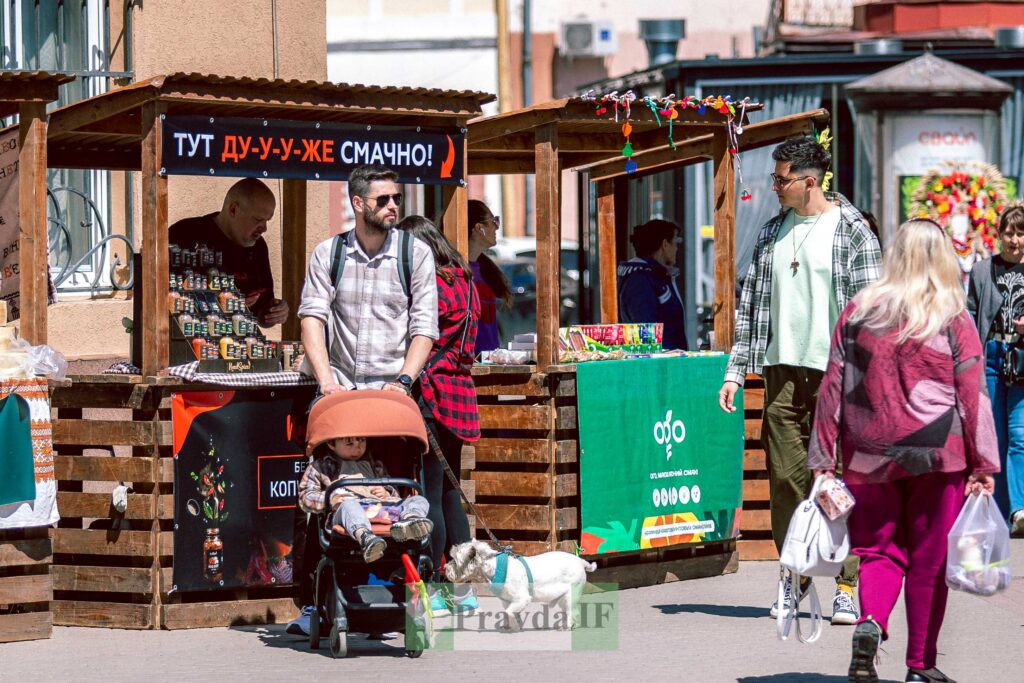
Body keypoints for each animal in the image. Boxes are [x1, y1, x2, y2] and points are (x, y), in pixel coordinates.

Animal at [444, 540, 598, 634]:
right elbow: (509, 612)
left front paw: (515, 627)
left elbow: (509, 612)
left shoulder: (521, 598)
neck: (493, 568)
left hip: (570, 595)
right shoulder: (507, 600)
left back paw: (566, 627)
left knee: (572, 612)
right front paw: (510, 626)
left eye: (455, 561)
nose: (445, 568)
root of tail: (581, 561)